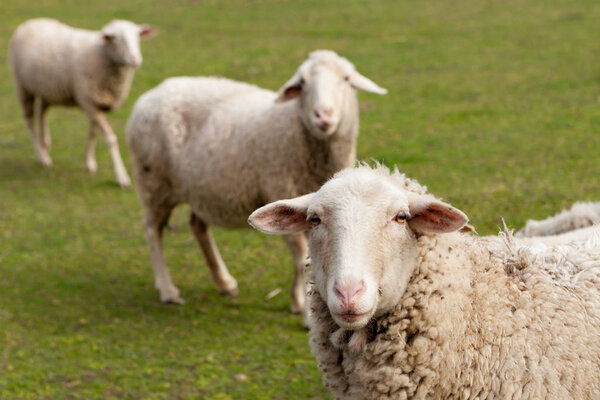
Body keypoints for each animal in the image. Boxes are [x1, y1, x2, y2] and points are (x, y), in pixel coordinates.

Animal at [8, 18, 156, 188]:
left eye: (138, 36)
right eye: (115, 38)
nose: (135, 59)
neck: (102, 55)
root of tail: (29, 22)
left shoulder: (96, 102)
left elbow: (93, 134)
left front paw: (89, 162)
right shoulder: (89, 101)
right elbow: (111, 139)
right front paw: (122, 176)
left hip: (47, 88)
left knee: (42, 110)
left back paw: (45, 142)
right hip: (22, 86)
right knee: (29, 119)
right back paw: (42, 155)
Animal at [127, 49, 390, 316]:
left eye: (346, 79)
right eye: (302, 83)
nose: (323, 116)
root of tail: (152, 93)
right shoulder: (281, 191)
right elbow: (301, 257)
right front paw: (304, 310)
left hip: (200, 187)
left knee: (197, 226)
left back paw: (224, 282)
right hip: (154, 183)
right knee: (152, 229)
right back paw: (167, 289)